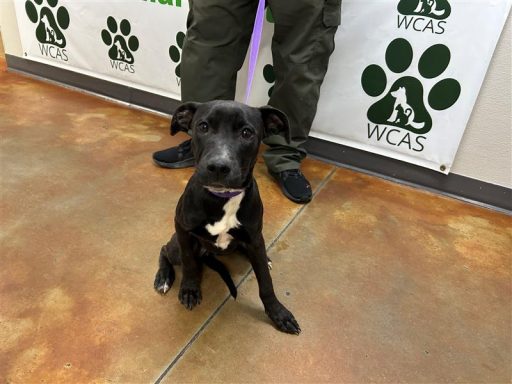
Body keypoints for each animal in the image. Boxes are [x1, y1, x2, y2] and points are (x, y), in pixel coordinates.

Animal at [153, 100, 300, 334]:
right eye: (203, 127)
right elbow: (189, 262)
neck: (223, 196)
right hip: (176, 243)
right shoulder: (183, 229)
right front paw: (190, 289)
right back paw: (164, 277)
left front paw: (278, 313)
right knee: (166, 250)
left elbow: (265, 281)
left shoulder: (254, 238)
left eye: (247, 132)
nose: (218, 167)